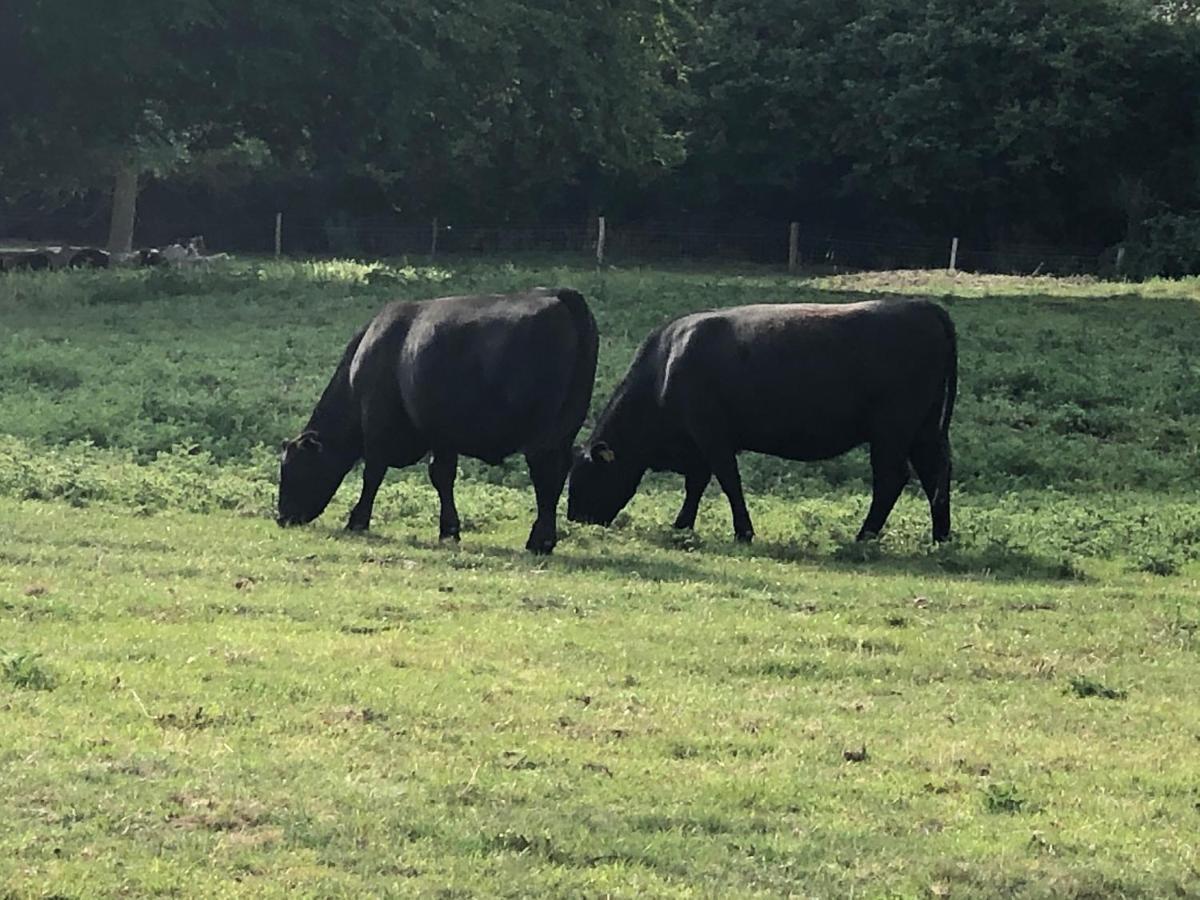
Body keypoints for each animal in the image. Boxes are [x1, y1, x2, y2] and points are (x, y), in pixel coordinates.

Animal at [279, 289, 600, 556]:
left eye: (293, 468)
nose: (281, 516)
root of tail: (560, 296)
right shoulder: (442, 433)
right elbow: (442, 476)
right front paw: (449, 530)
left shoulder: (378, 425)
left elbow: (373, 474)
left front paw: (357, 520)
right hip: (565, 427)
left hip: (542, 435)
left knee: (546, 474)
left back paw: (539, 541)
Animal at [568, 300, 955, 547]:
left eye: (585, 476)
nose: (574, 518)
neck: (664, 368)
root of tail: (922, 306)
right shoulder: (697, 443)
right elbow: (696, 485)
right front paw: (682, 526)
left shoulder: (712, 434)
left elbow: (728, 481)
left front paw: (743, 533)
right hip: (923, 430)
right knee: (935, 475)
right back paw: (941, 538)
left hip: (892, 430)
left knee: (892, 478)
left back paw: (864, 537)